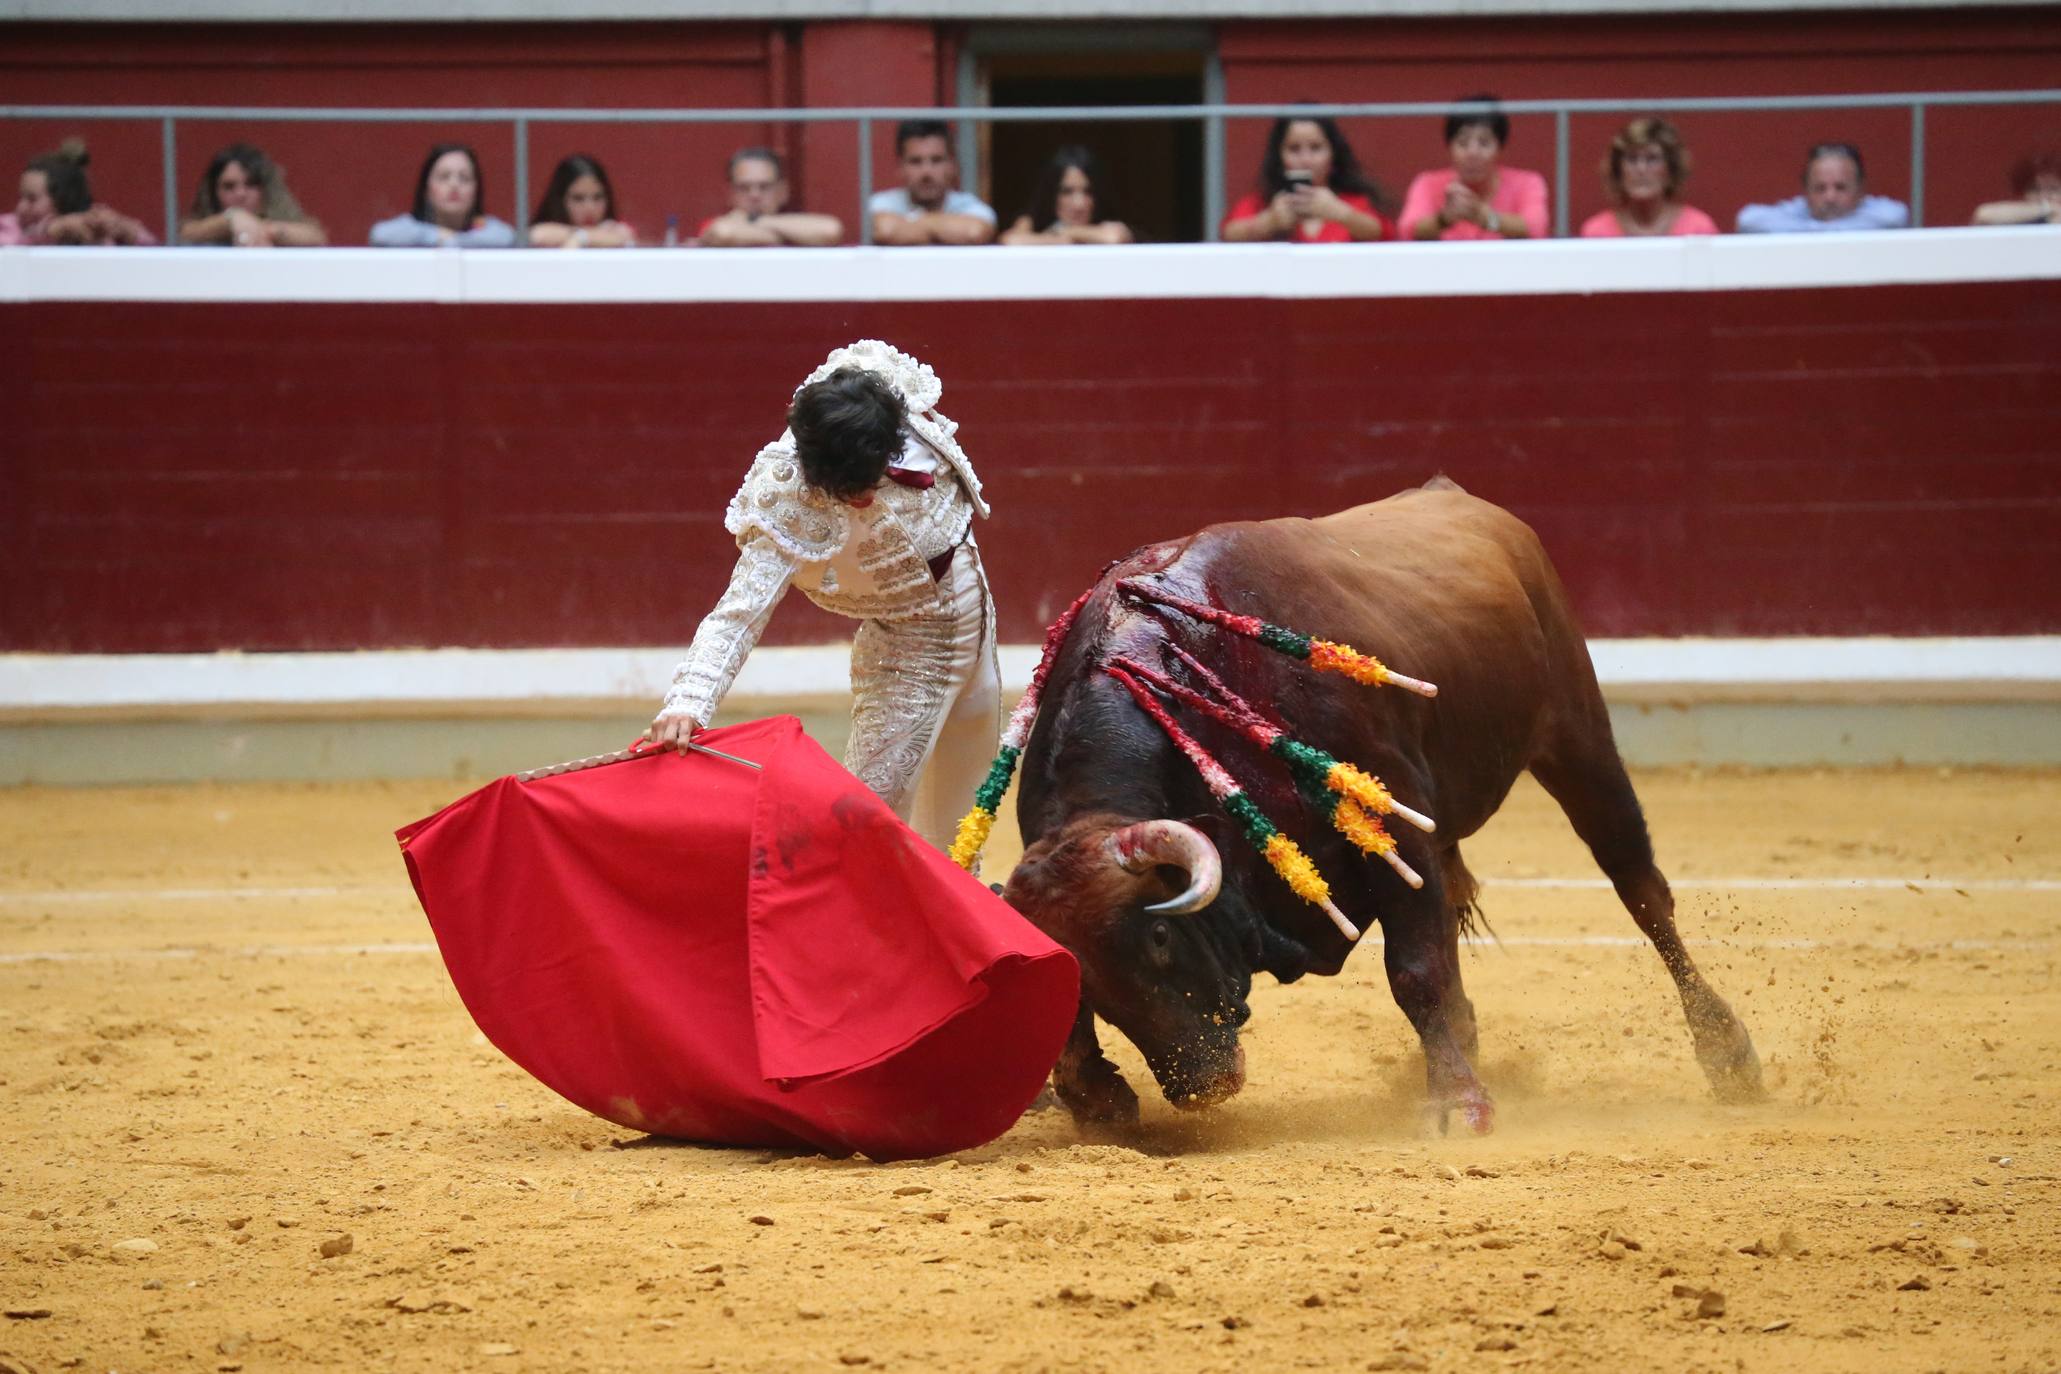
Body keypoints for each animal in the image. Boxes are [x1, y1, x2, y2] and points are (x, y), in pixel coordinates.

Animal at [997, 486, 1755, 1137]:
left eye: (1157, 937)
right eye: (1087, 971)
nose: (1199, 1087)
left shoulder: (1393, 827)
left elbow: (1414, 971)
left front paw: (1456, 1106)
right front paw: (1096, 1100)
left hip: (1577, 735)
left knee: (1641, 892)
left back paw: (1730, 1057)